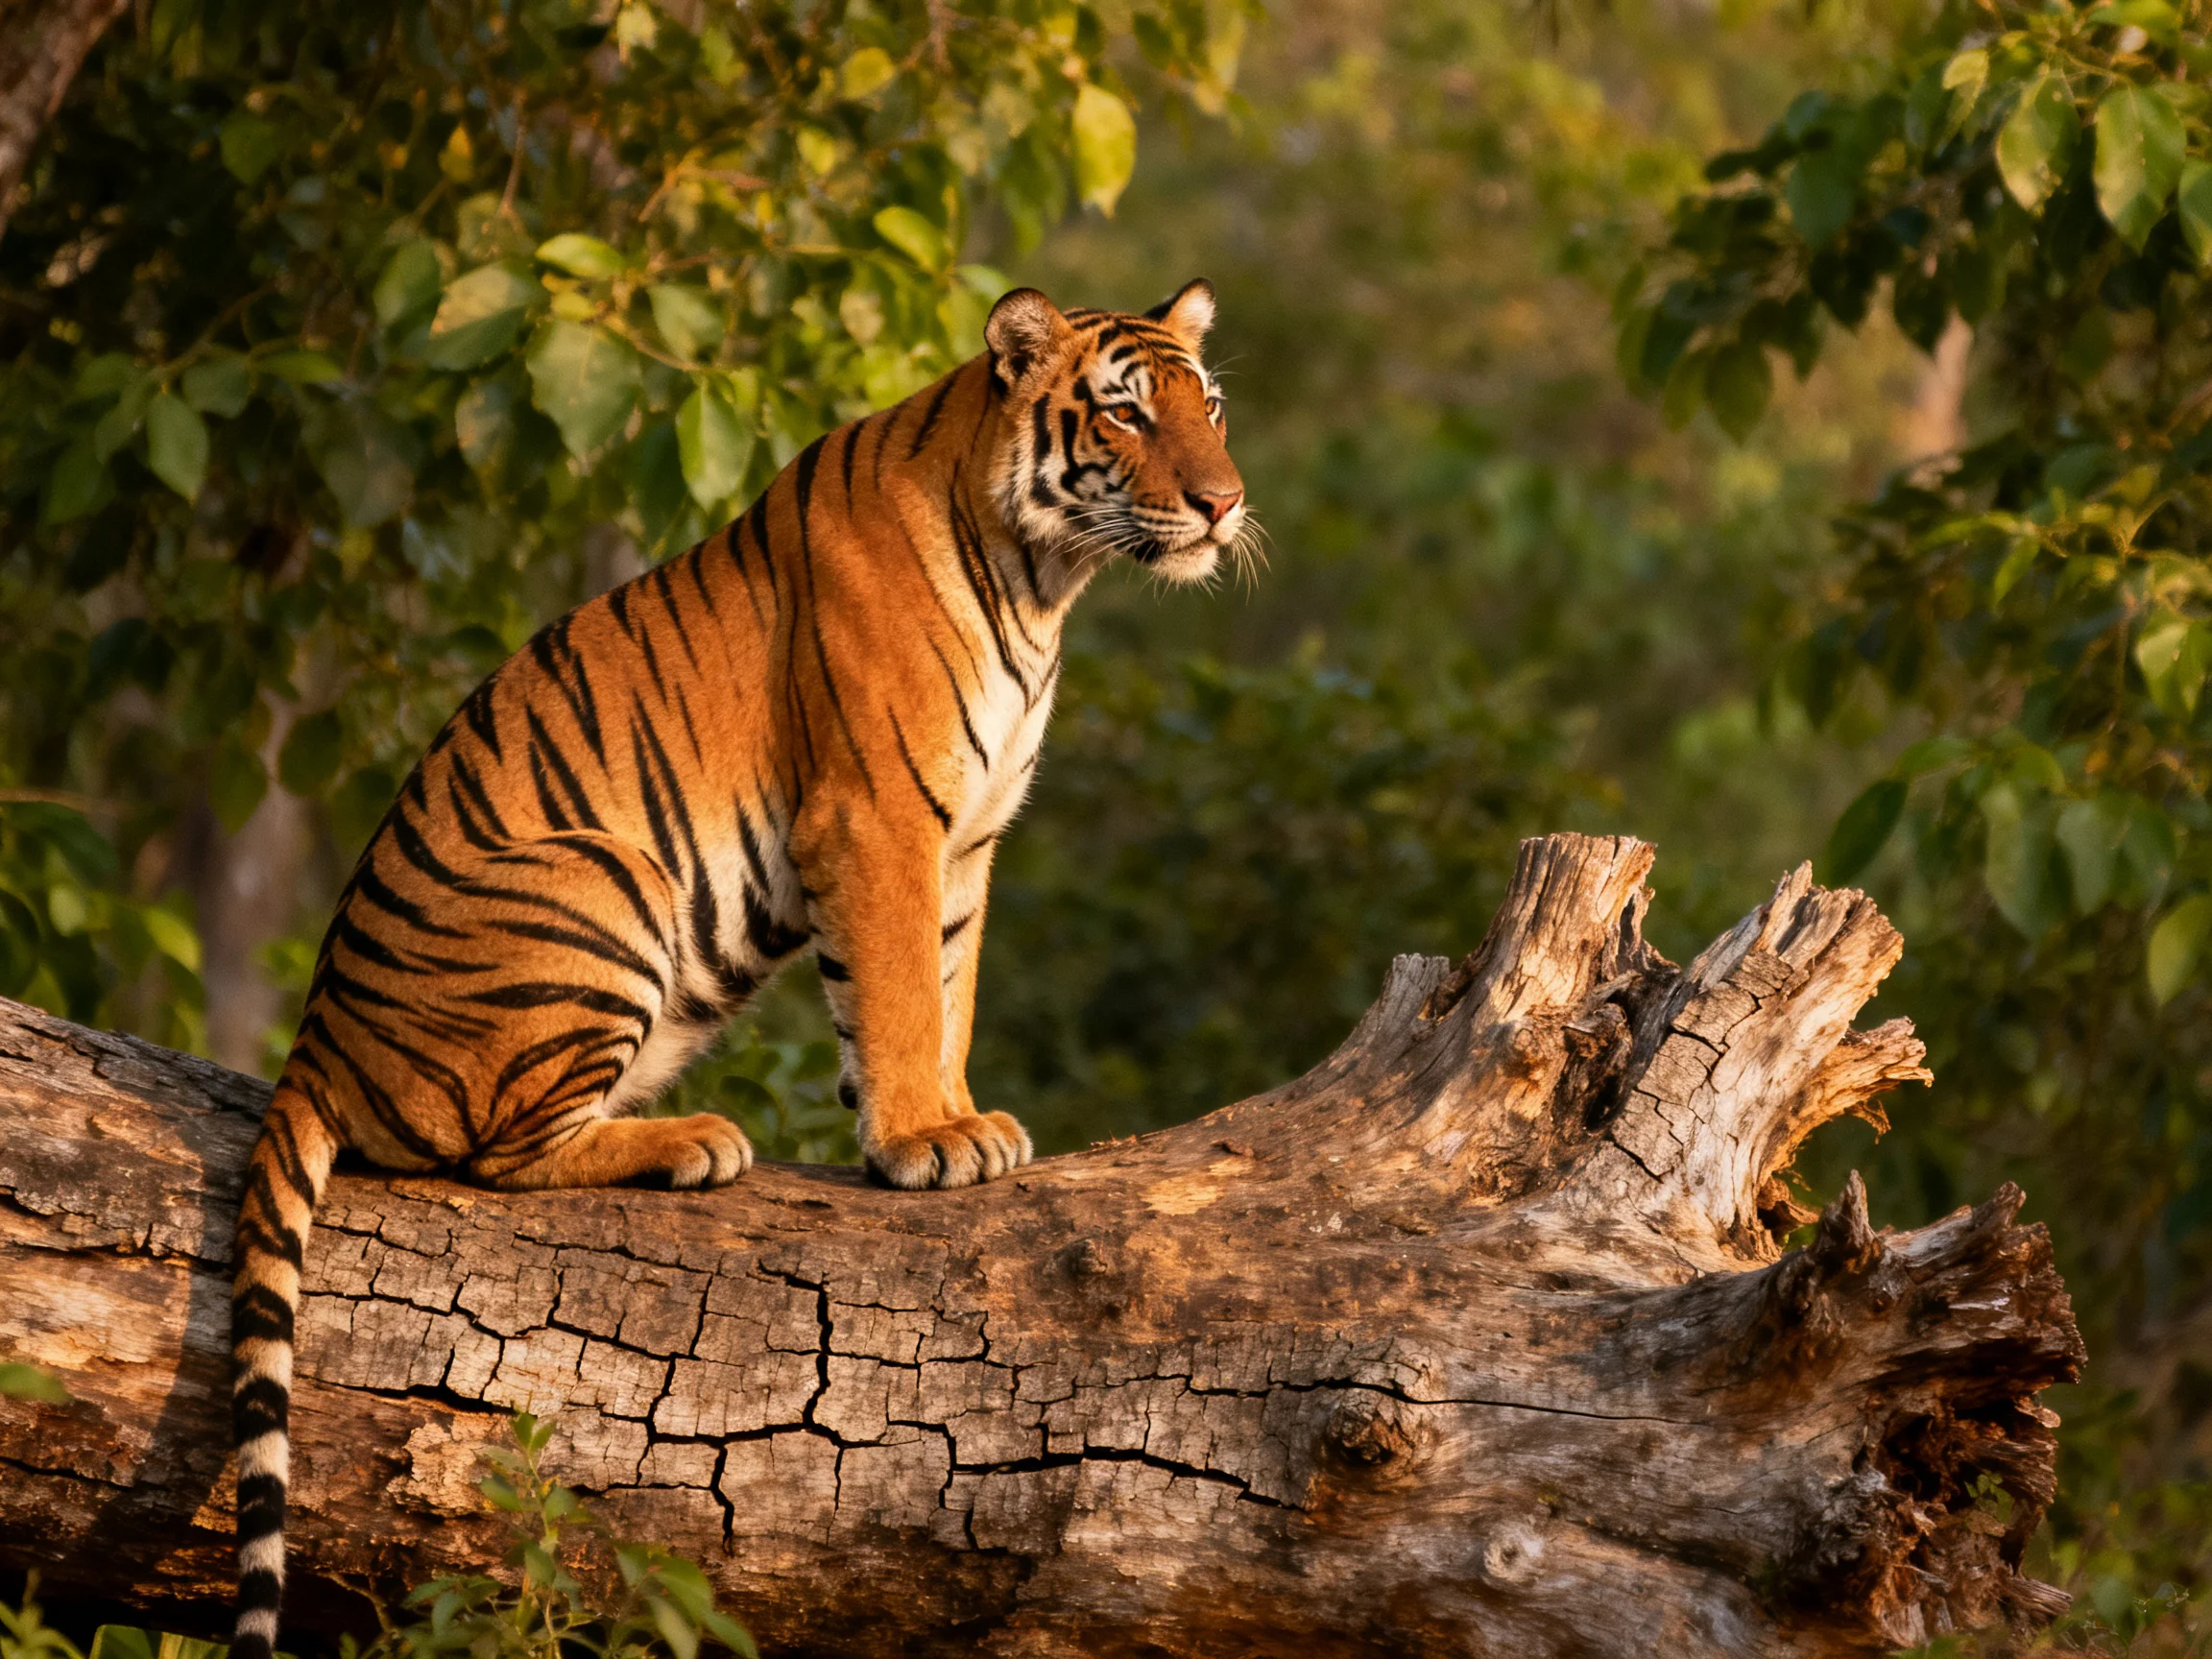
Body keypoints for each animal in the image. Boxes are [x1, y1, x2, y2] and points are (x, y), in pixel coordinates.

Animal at [225, 279, 1247, 1659]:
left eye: (1212, 409)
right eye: (1130, 414)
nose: (1224, 503)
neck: (1044, 581)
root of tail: (313, 1044)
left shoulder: (966, 841)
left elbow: (943, 993)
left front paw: (953, 1119)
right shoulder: (878, 815)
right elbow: (898, 993)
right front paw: (923, 1140)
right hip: (603, 875)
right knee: (493, 1157)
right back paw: (693, 1141)